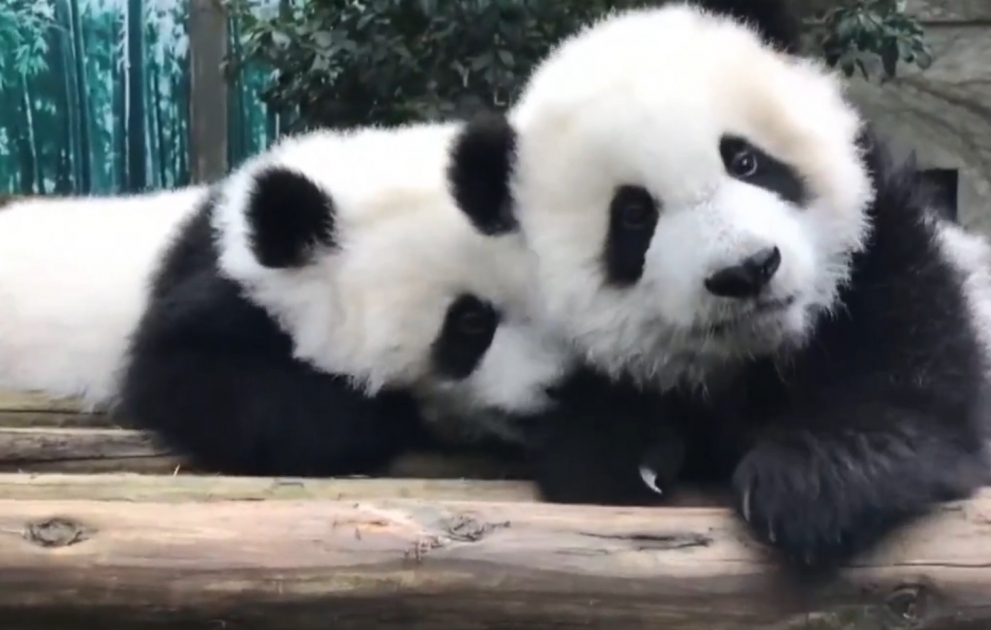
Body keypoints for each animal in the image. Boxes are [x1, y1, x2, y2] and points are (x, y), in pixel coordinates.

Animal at [447, 0, 991, 567]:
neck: (755, 356)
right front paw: (634, 455)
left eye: (745, 160)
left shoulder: (883, 249)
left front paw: (808, 482)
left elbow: (917, 386)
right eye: (634, 215)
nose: (748, 270)